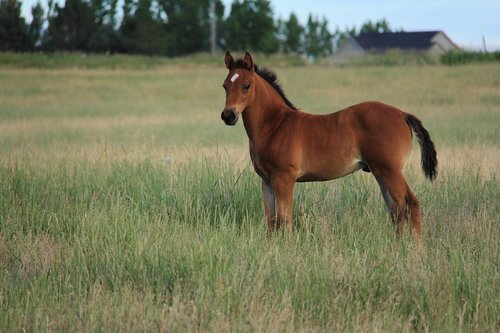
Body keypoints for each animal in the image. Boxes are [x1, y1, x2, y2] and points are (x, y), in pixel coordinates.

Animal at [221, 51, 436, 239]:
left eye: (247, 85)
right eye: (224, 86)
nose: (228, 116)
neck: (274, 125)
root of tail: (402, 114)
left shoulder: (284, 178)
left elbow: (285, 220)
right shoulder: (266, 181)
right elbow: (271, 222)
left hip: (391, 171)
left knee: (410, 204)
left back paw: (415, 250)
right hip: (380, 173)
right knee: (396, 210)